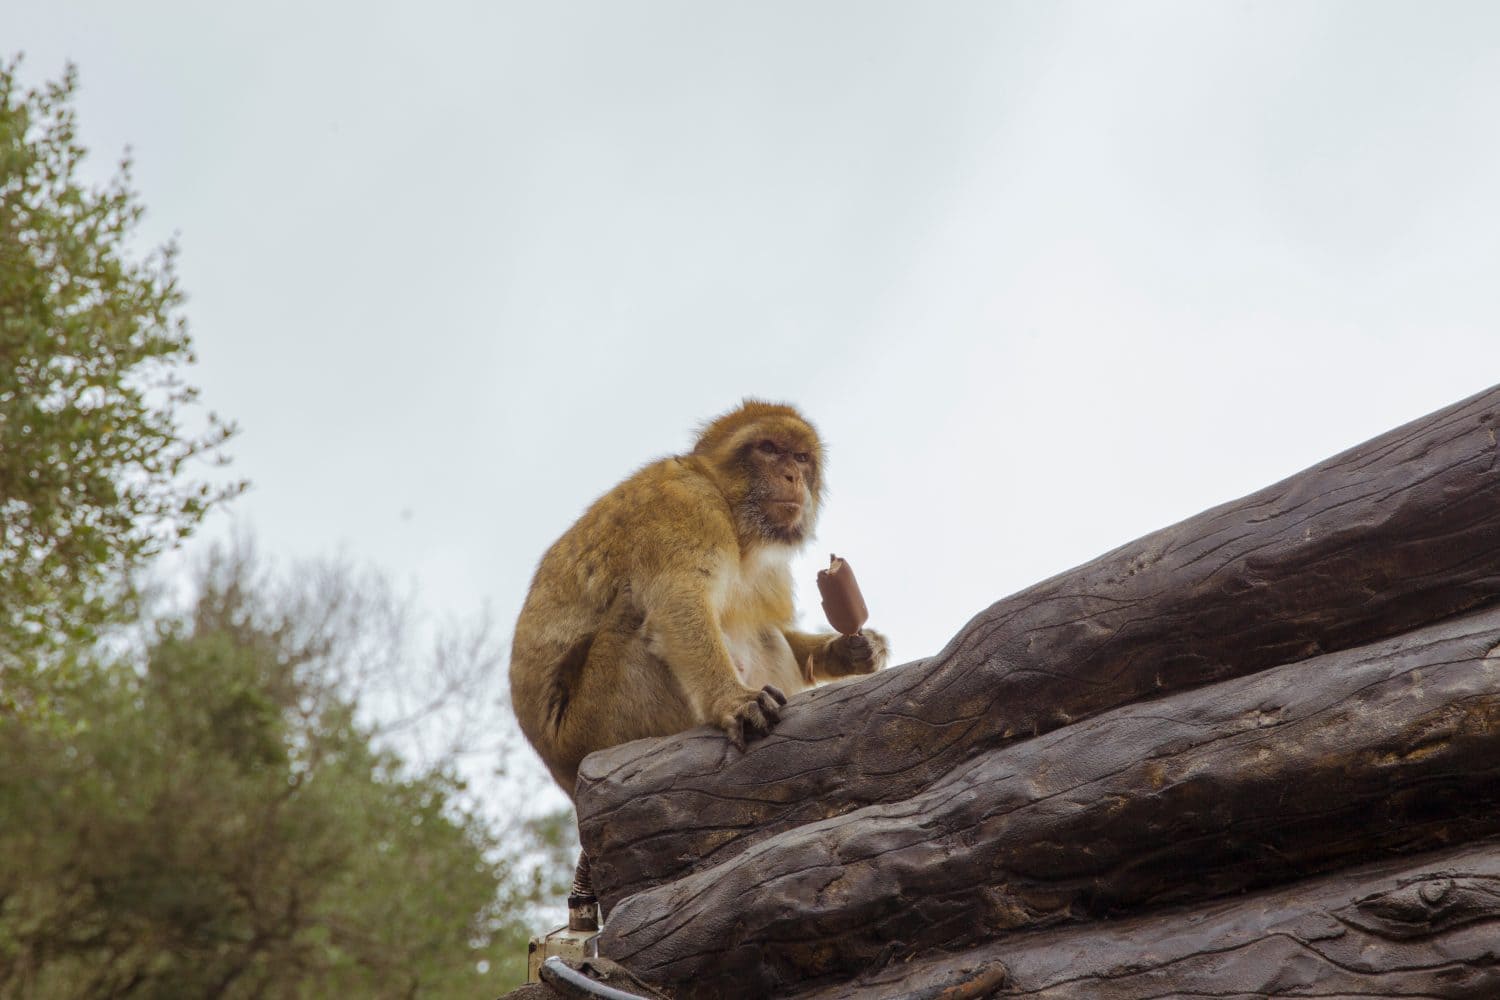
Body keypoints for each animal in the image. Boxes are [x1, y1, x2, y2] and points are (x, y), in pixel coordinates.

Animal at [509, 400, 889, 798]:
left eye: (801, 458)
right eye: (768, 448)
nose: (791, 477)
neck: (732, 514)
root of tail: (563, 771)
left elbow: (771, 627)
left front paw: (851, 650)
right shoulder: (683, 503)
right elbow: (679, 603)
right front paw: (733, 700)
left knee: (766, 635)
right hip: (601, 722)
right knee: (634, 610)